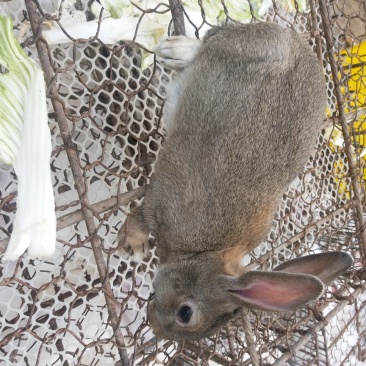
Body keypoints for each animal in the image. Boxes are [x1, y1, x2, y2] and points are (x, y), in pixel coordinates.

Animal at [118, 22, 354, 340]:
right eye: (186, 313)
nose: (155, 326)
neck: (202, 253)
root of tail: (297, 41)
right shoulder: (160, 206)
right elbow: (139, 217)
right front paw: (134, 246)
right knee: (206, 41)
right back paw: (175, 51)